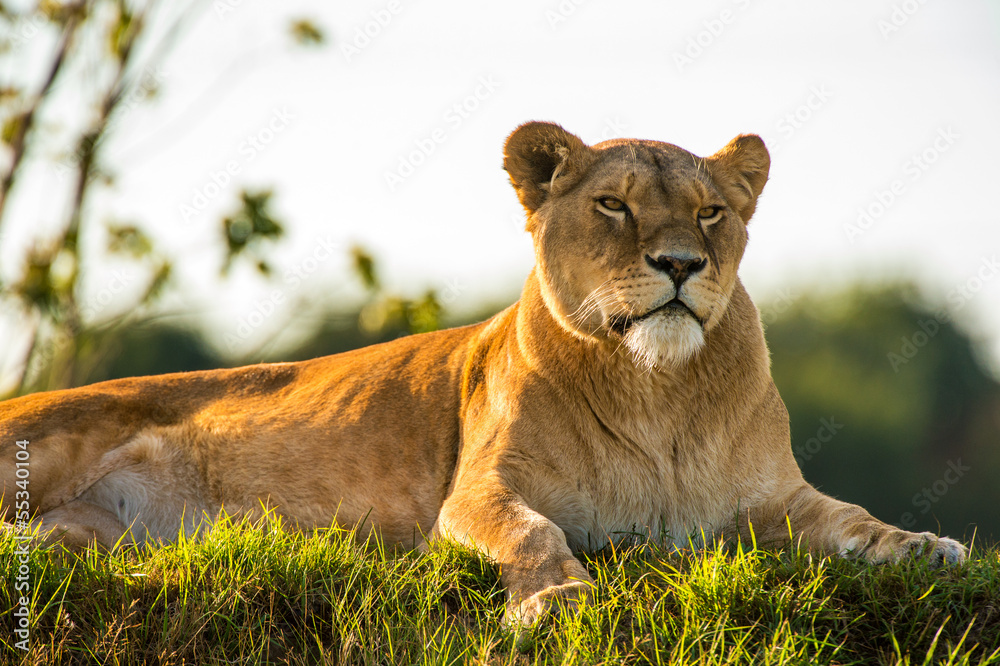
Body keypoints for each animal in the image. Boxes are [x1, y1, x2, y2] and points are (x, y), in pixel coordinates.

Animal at [1, 121, 967, 625]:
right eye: (612, 204)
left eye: (710, 213)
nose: (681, 264)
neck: (658, 392)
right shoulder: (475, 496)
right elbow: (534, 534)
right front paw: (558, 600)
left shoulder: (776, 497)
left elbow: (854, 519)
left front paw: (921, 546)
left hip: (83, 537)